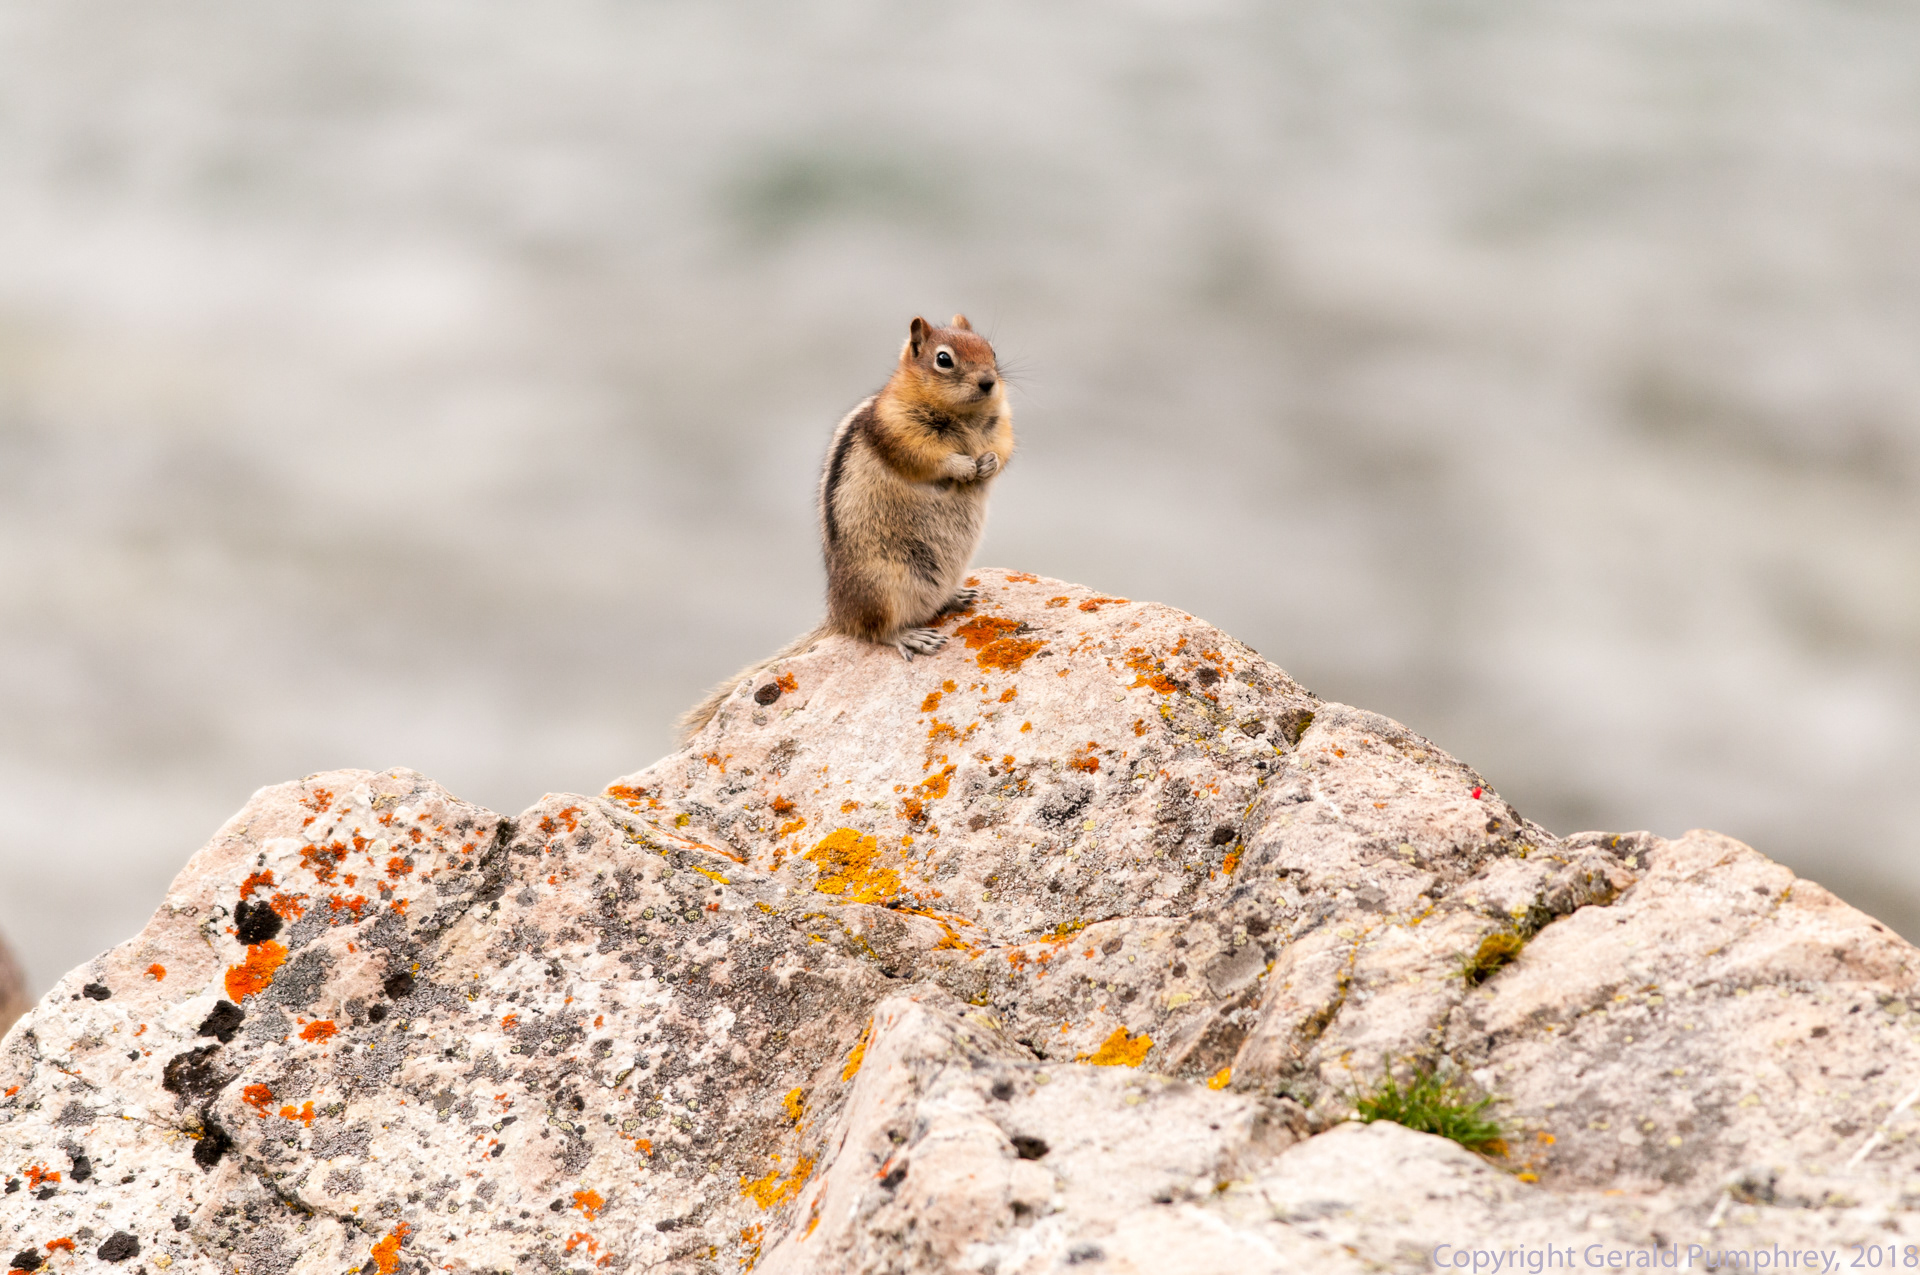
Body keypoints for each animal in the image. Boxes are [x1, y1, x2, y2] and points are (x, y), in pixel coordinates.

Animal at [677, 314, 1014, 743]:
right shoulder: (897, 430)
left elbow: (1003, 448)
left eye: (992, 351)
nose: (989, 382)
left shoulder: (1002, 423)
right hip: (881, 585)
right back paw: (910, 635)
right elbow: (926, 457)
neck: (964, 416)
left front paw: (987, 463)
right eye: (944, 359)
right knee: (875, 631)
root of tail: (839, 614)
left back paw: (954, 597)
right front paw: (964, 465)